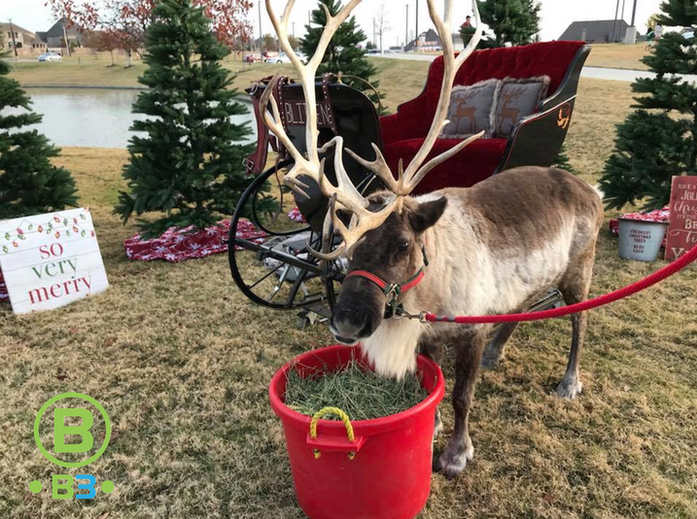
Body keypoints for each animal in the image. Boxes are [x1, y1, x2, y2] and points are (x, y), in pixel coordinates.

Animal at [259, 0, 604, 479]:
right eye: (345, 251)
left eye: (403, 243)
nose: (346, 322)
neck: (429, 289)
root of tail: (590, 188)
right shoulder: (431, 334)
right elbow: (434, 383)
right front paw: (435, 425)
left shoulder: (470, 328)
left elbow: (461, 395)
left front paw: (457, 453)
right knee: (522, 305)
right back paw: (500, 352)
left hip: (578, 269)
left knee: (579, 320)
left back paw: (570, 381)